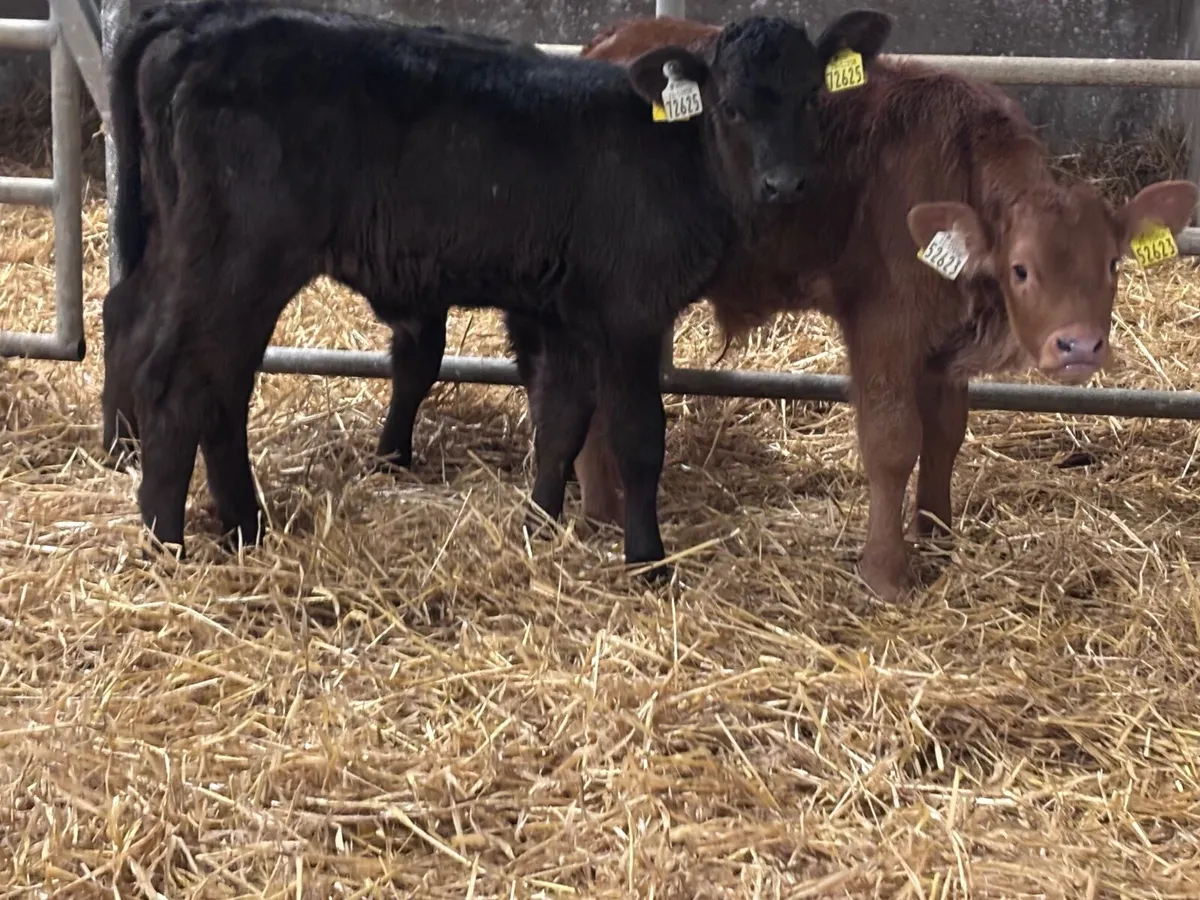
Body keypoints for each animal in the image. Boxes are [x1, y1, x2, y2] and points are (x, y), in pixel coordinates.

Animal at [100, 0, 895, 577]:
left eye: (811, 97)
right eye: (730, 106)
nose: (785, 183)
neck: (673, 154)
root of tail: (197, 24)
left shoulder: (568, 313)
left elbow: (562, 419)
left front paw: (539, 523)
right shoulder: (632, 309)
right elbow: (638, 435)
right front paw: (647, 561)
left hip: (195, 253)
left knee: (182, 358)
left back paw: (241, 526)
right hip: (239, 256)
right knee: (180, 380)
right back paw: (168, 541)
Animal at [450, 16, 1195, 601]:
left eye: (1112, 264)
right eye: (1022, 268)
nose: (1079, 346)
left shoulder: (942, 344)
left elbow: (946, 434)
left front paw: (938, 537)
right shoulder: (884, 323)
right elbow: (893, 442)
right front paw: (887, 572)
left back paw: (603, 511)